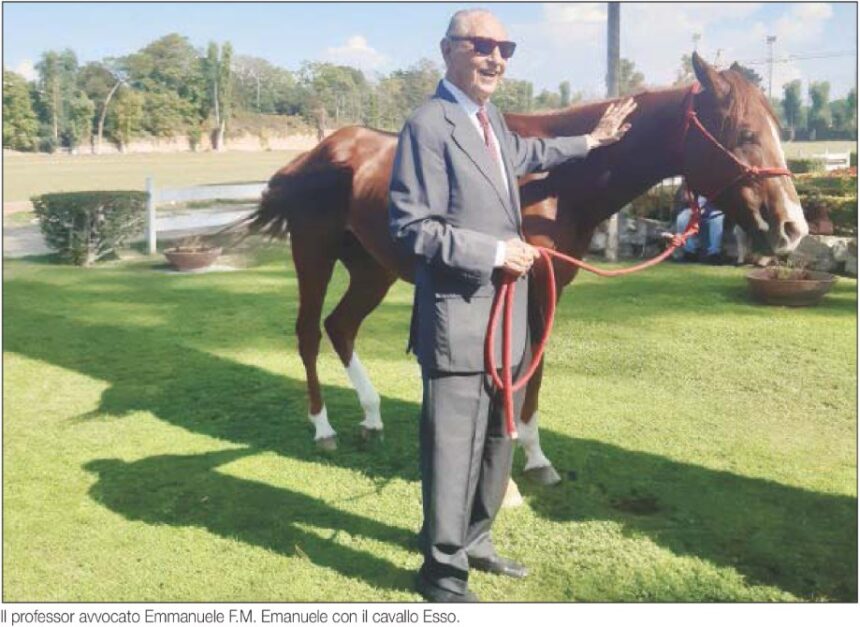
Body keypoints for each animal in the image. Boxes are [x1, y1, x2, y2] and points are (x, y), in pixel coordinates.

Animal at [242, 54, 808, 486]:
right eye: (745, 132)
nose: (792, 226)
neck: (556, 182)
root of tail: (317, 153)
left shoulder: (547, 286)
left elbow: (533, 366)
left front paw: (533, 457)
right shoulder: (522, 283)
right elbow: (514, 367)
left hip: (371, 269)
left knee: (341, 326)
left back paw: (372, 417)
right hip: (313, 254)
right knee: (309, 332)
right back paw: (324, 429)